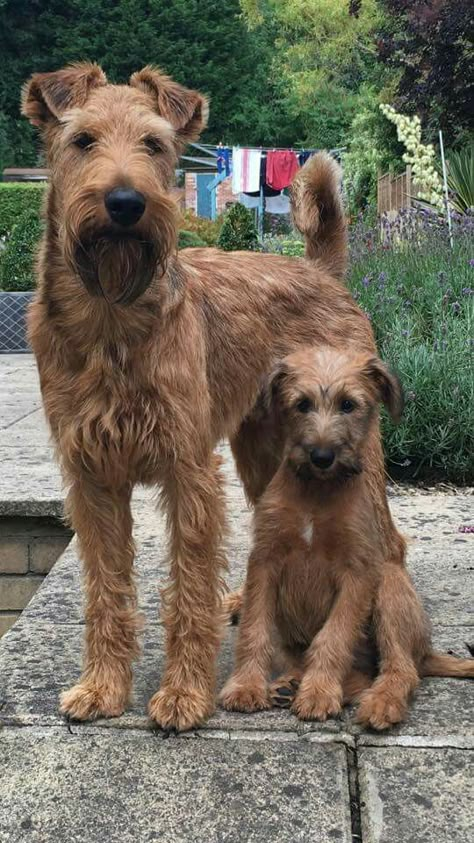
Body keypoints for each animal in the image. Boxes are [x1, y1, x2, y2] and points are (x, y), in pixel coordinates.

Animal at [22, 61, 400, 732]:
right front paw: (102, 686)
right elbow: (106, 590)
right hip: (263, 454)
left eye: (154, 144)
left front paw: (182, 694)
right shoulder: (92, 478)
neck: (112, 320)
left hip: (359, 454)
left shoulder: (188, 469)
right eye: (83, 140)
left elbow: (189, 587)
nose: (126, 203)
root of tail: (319, 271)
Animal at [221, 346, 474, 728]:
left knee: (398, 669)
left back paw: (379, 703)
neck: (316, 493)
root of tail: (427, 652)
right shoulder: (264, 561)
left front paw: (319, 692)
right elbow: (254, 629)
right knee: (351, 670)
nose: (322, 456)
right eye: (302, 404)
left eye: (348, 405)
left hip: (389, 587)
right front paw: (245, 687)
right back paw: (291, 684)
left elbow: (334, 636)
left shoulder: (357, 572)